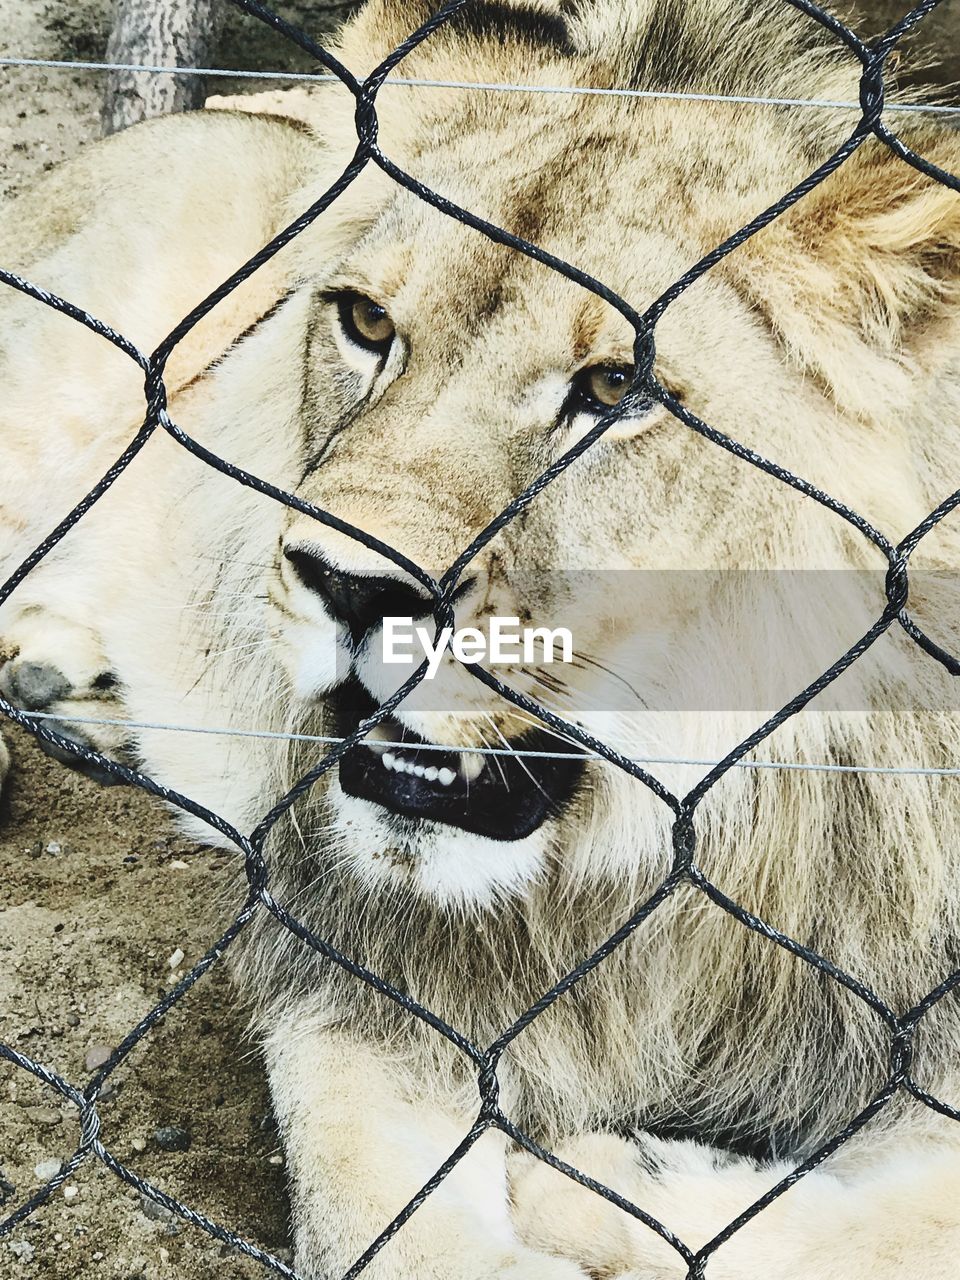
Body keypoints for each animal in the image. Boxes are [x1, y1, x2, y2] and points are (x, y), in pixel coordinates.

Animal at [1, 0, 960, 1274]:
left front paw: (602, 1181)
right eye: (366, 322)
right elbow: (388, 1232)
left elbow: (889, 1224)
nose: (350, 588)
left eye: (615, 392)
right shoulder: (354, 980)